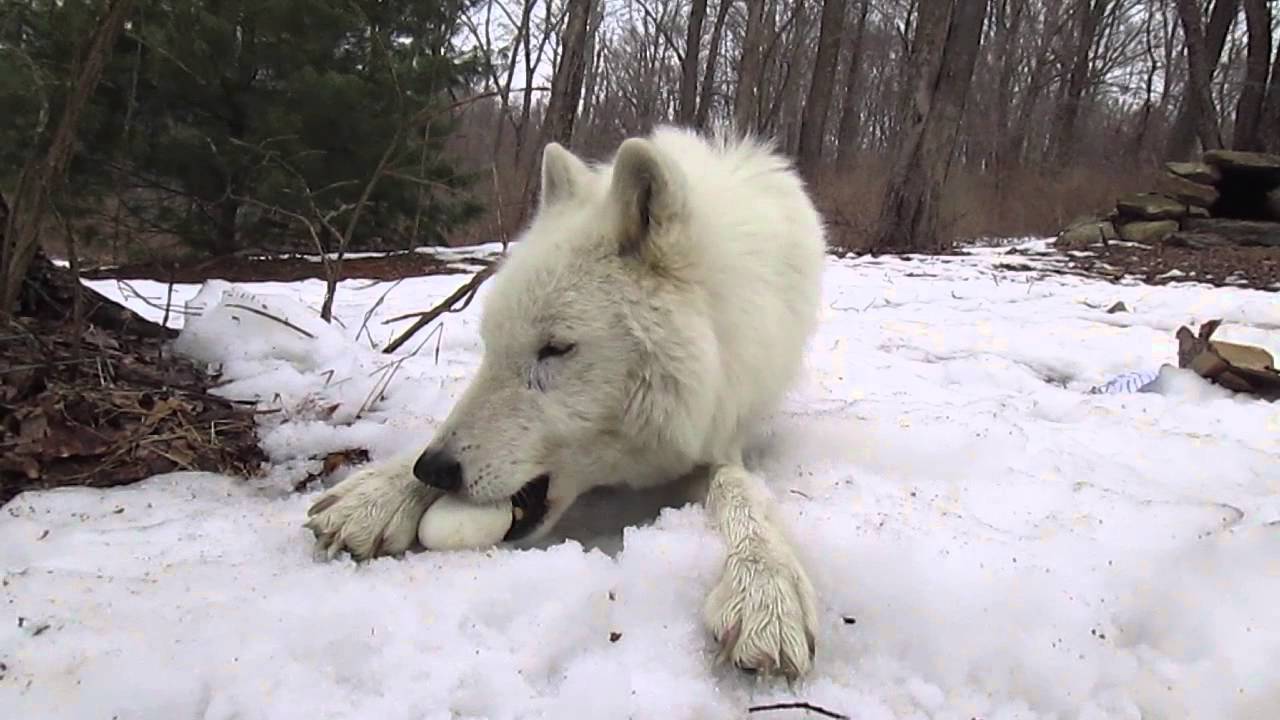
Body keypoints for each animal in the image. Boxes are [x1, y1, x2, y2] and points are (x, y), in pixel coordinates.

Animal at [311, 124, 829, 676]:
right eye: (491, 346)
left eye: (555, 349)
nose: (434, 471)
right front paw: (376, 494)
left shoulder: (723, 430)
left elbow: (739, 489)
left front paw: (765, 589)